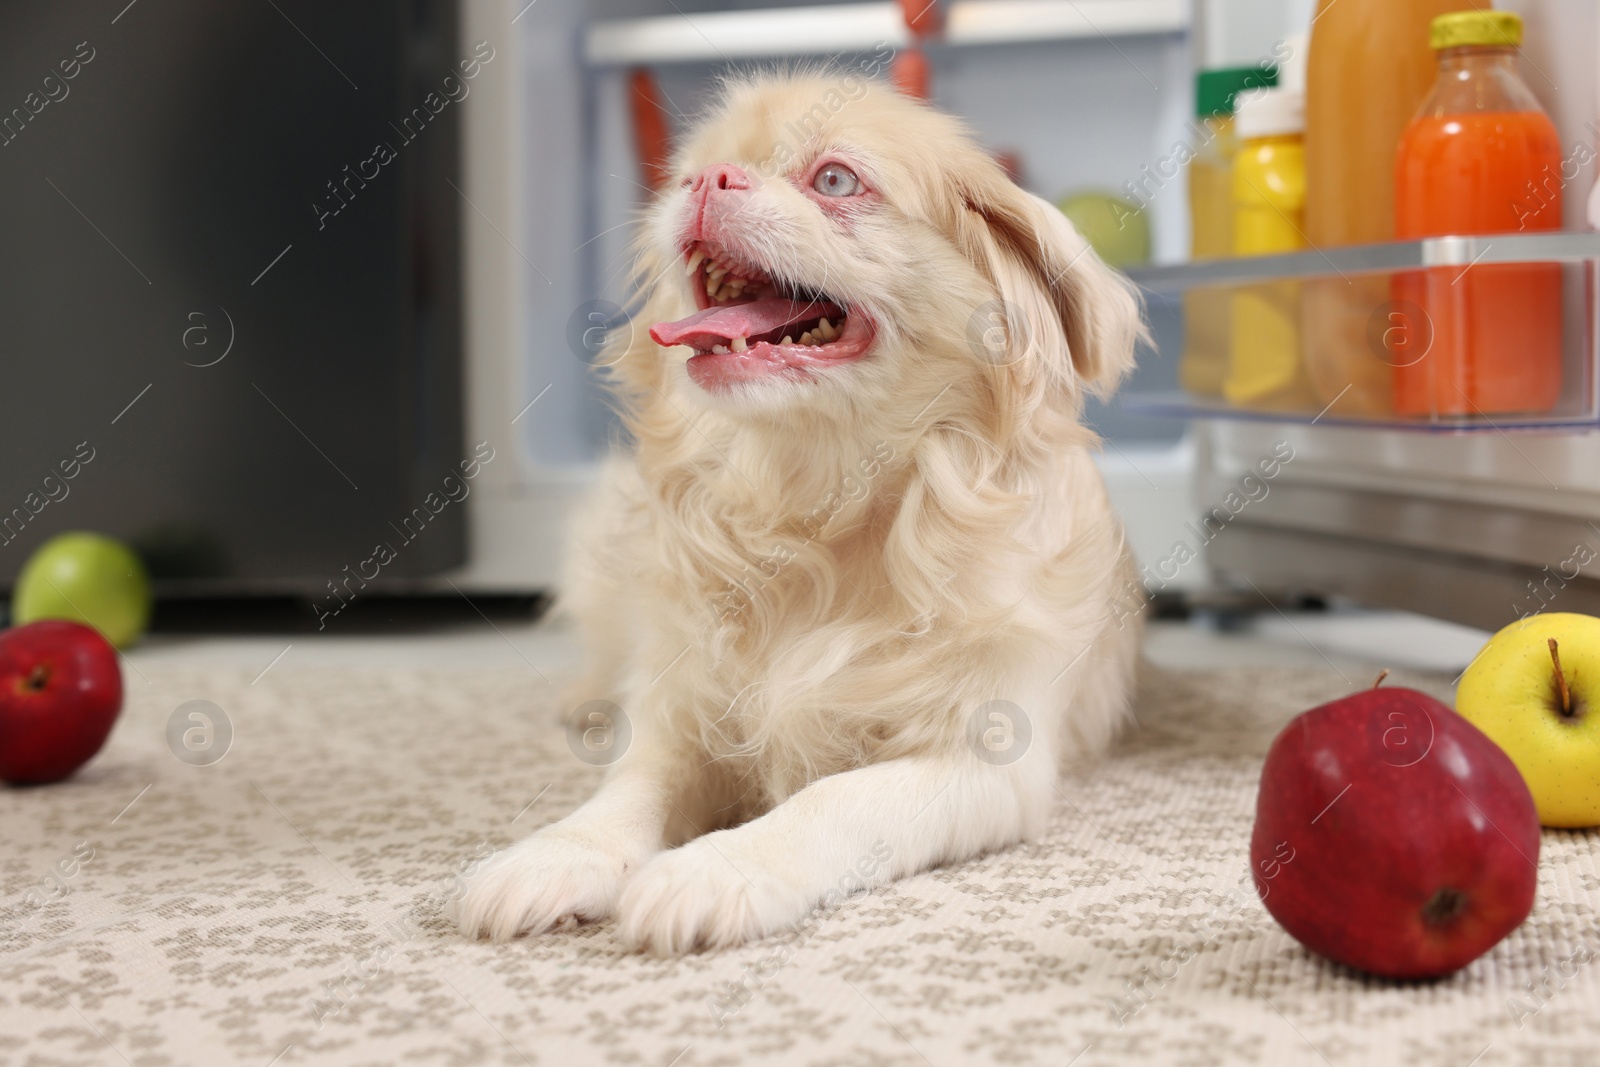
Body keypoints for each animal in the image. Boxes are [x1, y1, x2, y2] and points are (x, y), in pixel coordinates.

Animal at [451, 68, 1145, 953]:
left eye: (836, 181)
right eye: (686, 174)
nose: (705, 183)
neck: (814, 506)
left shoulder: (982, 763)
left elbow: (832, 800)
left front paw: (717, 868)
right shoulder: (681, 720)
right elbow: (625, 792)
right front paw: (554, 853)